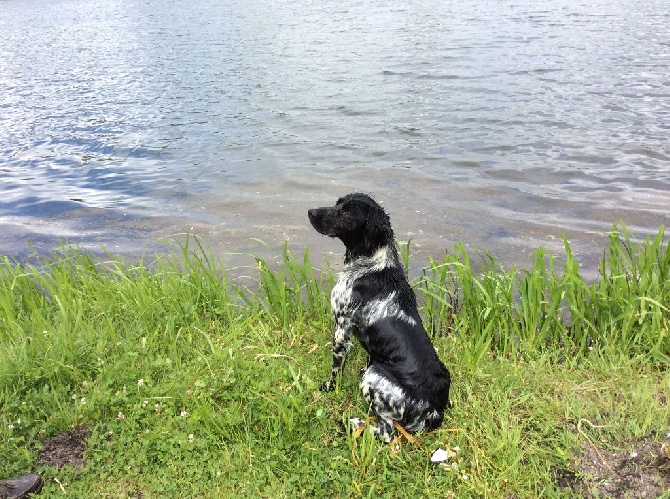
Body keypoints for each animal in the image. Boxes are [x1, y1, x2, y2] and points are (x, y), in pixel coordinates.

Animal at [310, 193, 452, 444]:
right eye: (338, 202)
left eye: (346, 213)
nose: (310, 212)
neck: (371, 265)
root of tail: (433, 411)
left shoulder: (341, 328)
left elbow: (336, 367)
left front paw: (329, 386)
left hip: (375, 376)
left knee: (387, 432)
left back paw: (351, 423)